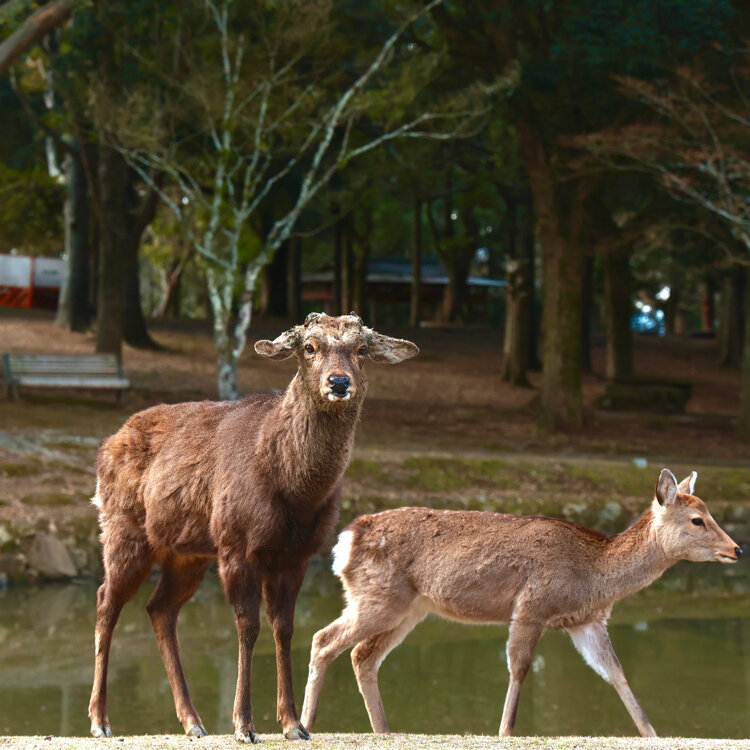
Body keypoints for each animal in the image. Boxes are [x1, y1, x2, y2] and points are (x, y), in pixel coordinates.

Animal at [86, 312, 424, 748]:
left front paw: (293, 724)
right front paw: (244, 725)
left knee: (159, 608)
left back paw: (192, 721)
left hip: (187, 552)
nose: (338, 382)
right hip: (123, 529)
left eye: (362, 348)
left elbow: (286, 629)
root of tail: (105, 446)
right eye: (309, 347)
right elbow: (248, 627)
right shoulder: (238, 543)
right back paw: (100, 721)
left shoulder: (298, 554)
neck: (294, 491)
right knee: (106, 601)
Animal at [302, 470, 748, 740]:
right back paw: (304, 724)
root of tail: (344, 542)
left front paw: (652, 734)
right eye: (697, 520)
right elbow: (518, 668)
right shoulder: (532, 606)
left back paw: (384, 731)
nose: (738, 549)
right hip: (379, 597)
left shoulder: (587, 622)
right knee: (324, 639)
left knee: (362, 655)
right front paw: (504, 732)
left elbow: (617, 674)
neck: (593, 576)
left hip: (408, 608)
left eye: (709, 511)